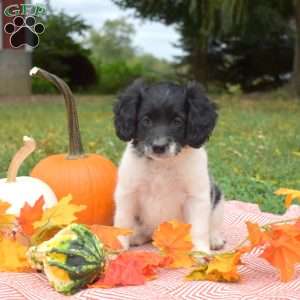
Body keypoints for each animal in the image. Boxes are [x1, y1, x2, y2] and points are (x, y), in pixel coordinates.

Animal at [113, 79, 225, 253]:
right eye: (146, 120)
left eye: (177, 121)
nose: (159, 147)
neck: (162, 165)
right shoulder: (127, 193)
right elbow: (123, 222)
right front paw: (118, 248)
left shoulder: (197, 197)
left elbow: (199, 228)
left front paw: (200, 251)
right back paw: (138, 236)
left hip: (218, 200)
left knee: (213, 224)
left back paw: (214, 238)